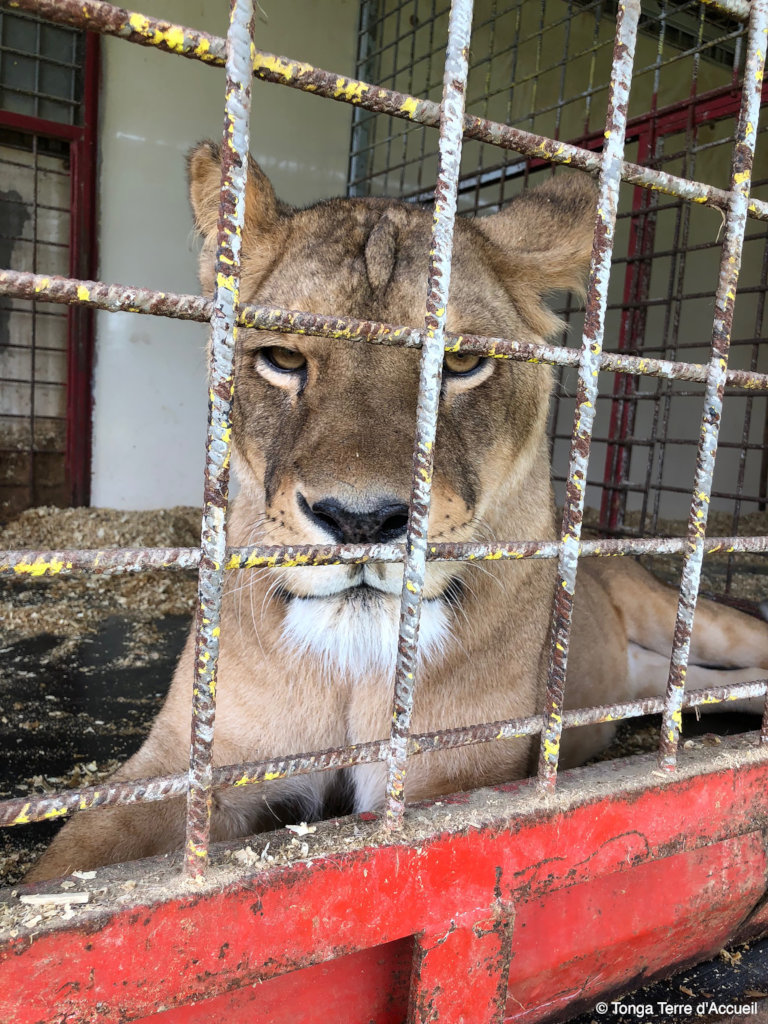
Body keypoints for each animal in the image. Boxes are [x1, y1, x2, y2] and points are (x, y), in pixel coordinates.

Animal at [26, 143, 768, 881]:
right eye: (283, 356)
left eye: (462, 363)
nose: (362, 521)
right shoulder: (180, 767)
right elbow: (69, 865)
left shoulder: (455, 774)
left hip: (683, 615)